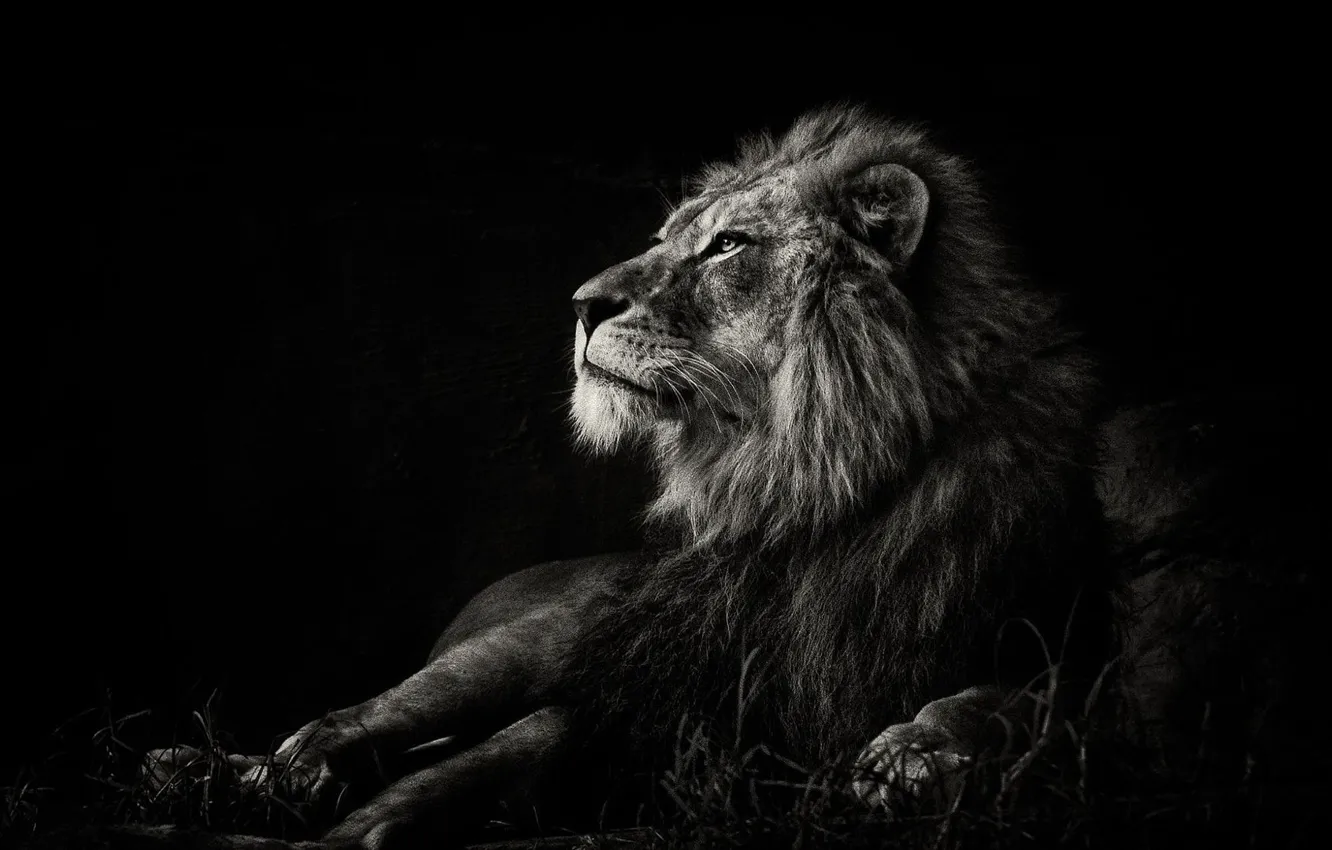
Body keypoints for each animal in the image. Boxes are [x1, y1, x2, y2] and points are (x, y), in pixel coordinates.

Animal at [145, 104, 1114, 847]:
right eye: (670, 239)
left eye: (728, 246)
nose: (581, 305)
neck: (819, 488)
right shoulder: (655, 667)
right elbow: (514, 741)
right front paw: (366, 823)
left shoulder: (1049, 638)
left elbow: (1022, 704)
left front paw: (915, 754)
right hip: (534, 635)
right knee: (364, 716)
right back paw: (223, 772)